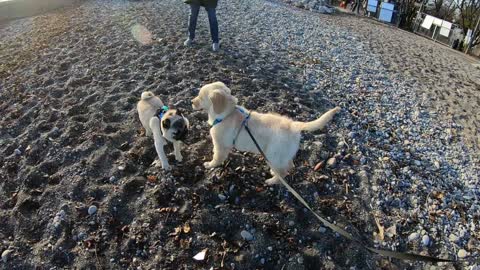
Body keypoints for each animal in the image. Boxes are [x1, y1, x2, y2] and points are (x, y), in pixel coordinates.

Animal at [191, 81, 342, 185]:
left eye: (201, 97)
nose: (191, 102)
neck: (227, 113)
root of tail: (294, 125)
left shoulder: (220, 146)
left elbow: (217, 157)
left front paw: (210, 165)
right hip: (282, 154)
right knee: (289, 165)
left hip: (274, 154)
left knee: (283, 170)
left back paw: (271, 181)